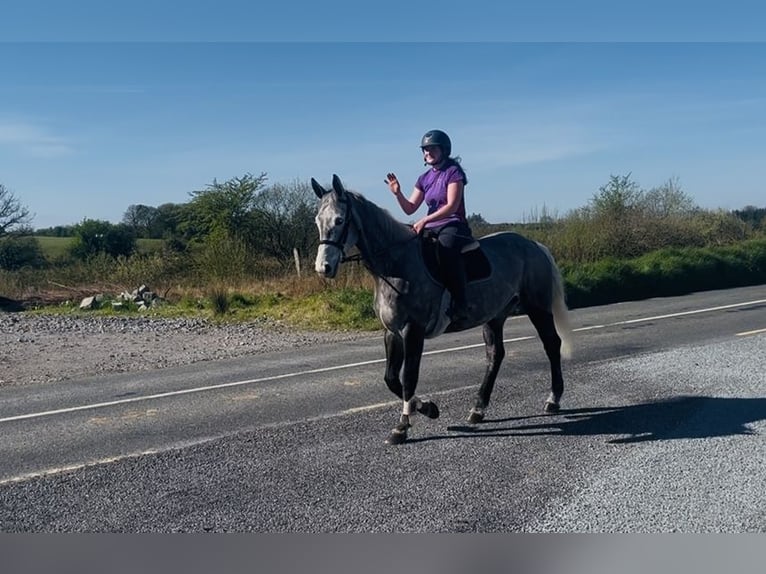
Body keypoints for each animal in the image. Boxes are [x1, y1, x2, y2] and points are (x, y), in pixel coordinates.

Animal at [311, 174, 573, 445]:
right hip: (494, 316)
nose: (323, 268)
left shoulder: (412, 330)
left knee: (551, 344)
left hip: (537, 307)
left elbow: (408, 378)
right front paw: (427, 408)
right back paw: (478, 409)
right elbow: (391, 379)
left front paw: (402, 427)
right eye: (318, 220)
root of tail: (533, 245)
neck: (396, 264)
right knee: (495, 355)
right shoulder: (392, 332)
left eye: (339, 220)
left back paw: (553, 399)